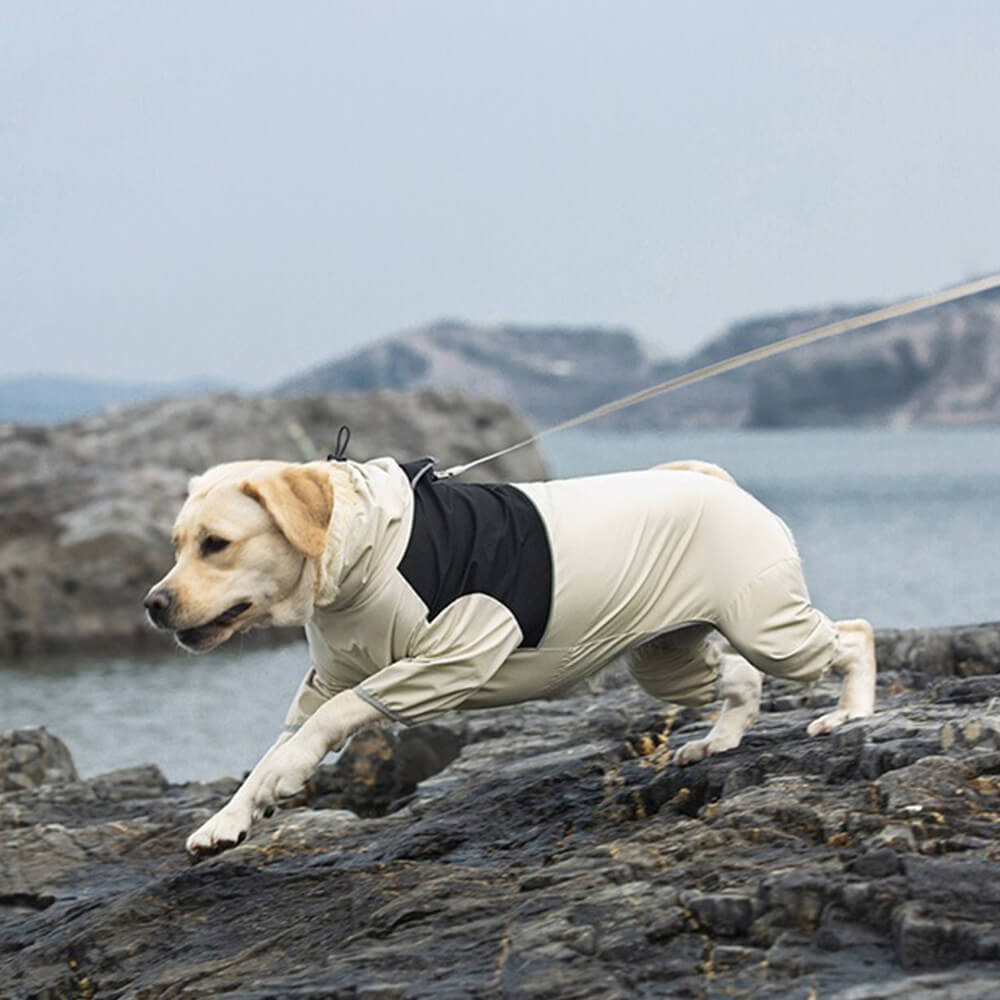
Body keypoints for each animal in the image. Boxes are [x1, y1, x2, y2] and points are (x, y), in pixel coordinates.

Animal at [146, 454, 876, 852]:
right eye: (176, 543)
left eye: (216, 544)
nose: (152, 604)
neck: (361, 545)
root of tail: (718, 480)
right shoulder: (324, 680)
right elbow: (279, 743)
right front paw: (227, 821)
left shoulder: (448, 659)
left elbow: (327, 724)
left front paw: (285, 777)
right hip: (666, 657)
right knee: (740, 677)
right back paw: (718, 741)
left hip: (767, 623)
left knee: (854, 634)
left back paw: (850, 712)